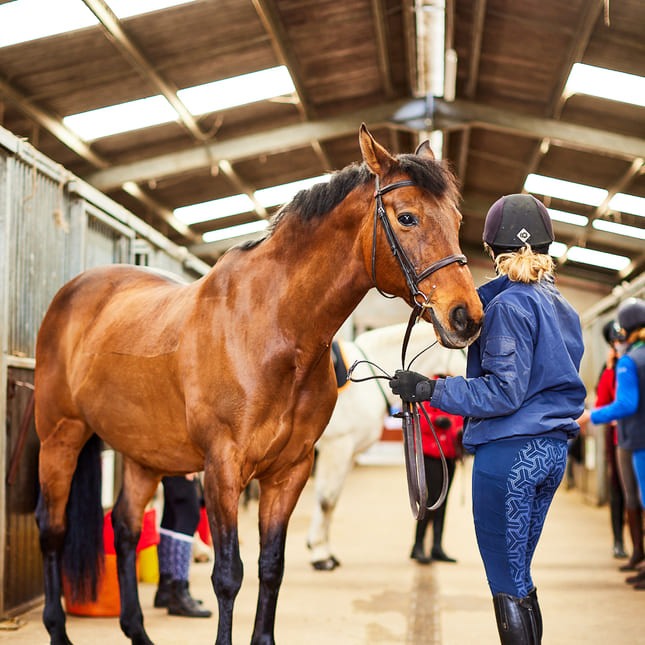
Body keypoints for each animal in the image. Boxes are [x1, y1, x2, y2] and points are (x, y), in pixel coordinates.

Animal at [306, 322, 462, 568]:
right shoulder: (336, 448)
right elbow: (326, 500)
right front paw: (320, 555)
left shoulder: (347, 455)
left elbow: (333, 500)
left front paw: (325, 551)